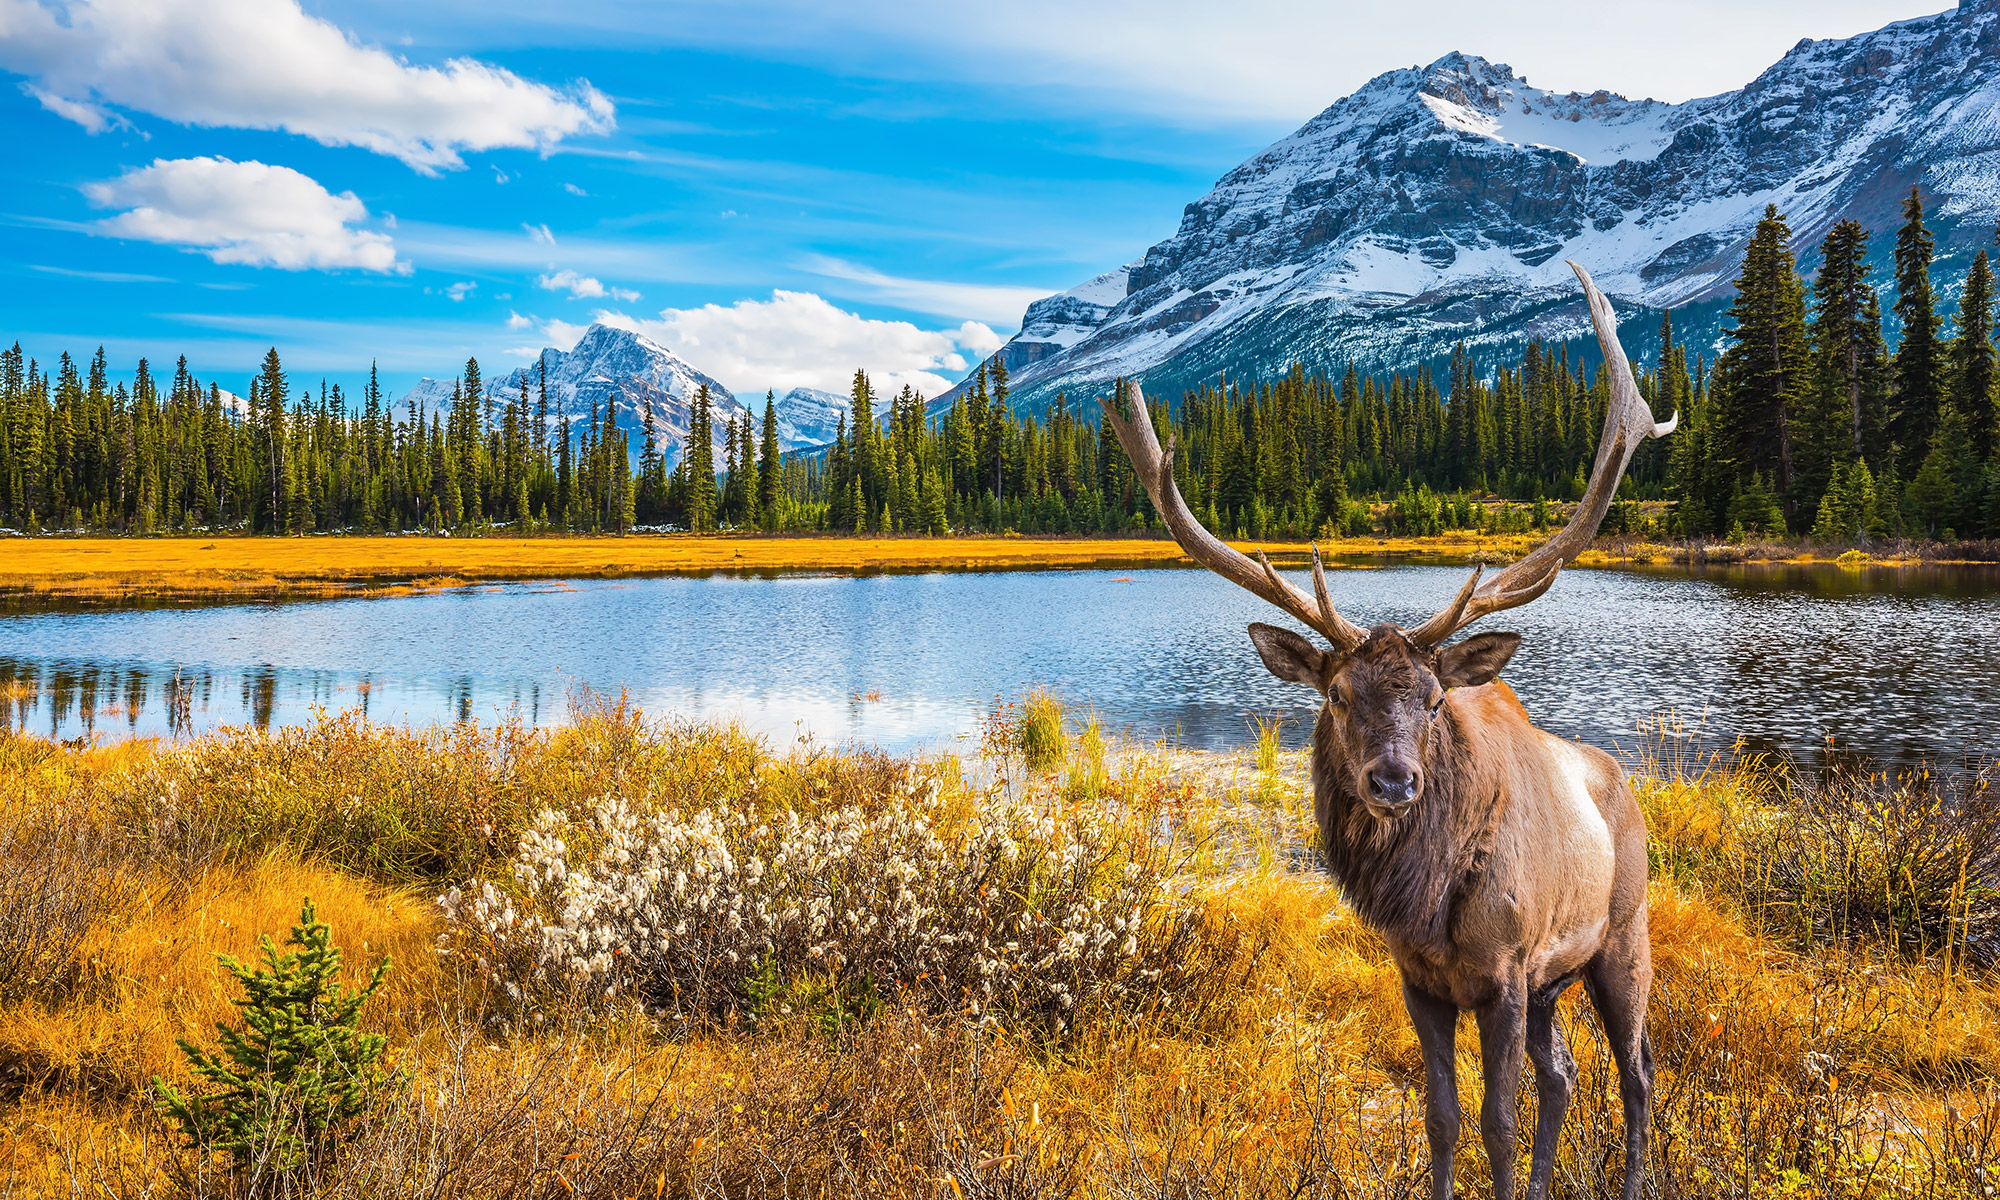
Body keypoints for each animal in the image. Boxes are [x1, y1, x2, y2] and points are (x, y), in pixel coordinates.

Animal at [1104, 264, 1680, 1200]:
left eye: (1436, 700)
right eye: (1337, 695)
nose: (1393, 780)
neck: (1431, 900)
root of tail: (1622, 784)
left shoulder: (1507, 971)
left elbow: (1497, 1124)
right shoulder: (1421, 980)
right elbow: (1443, 1119)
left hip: (1621, 938)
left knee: (1637, 1075)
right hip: (1557, 982)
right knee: (1566, 1076)